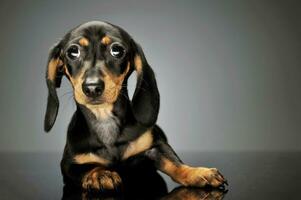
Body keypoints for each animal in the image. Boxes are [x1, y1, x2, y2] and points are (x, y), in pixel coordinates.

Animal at [44, 21, 225, 191]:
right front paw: (100, 174)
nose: (92, 88)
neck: (105, 121)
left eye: (116, 50)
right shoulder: (69, 163)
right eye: (72, 52)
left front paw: (197, 172)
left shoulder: (155, 146)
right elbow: (87, 168)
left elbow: (174, 162)